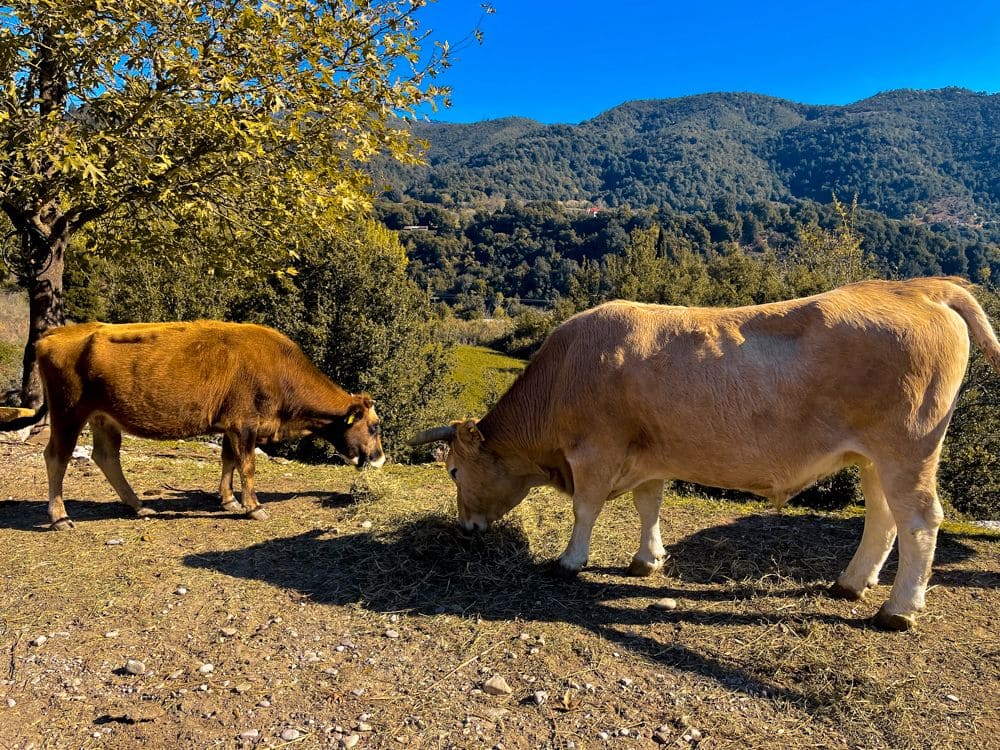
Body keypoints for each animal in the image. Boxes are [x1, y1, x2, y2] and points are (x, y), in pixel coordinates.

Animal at [0, 322, 384, 528]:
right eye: (374, 427)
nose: (379, 458)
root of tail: (54, 334)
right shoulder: (244, 424)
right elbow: (247, 465)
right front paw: (254, 506)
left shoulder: (231, 425)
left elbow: (228, 460)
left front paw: (228, 500)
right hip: (68, 412)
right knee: (57, 457)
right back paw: (59, 516)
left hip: (103, 417)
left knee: (106, 457)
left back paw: (139, 506)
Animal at [412, 280, 1000, 632]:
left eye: (454, 470)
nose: (465, 528)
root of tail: (918, 286)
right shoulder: (648, 453)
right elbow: (648, 506)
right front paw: (647, 560)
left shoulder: (595, 451)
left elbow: (586, 509)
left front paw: (569, 561)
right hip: (875, 457)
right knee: (882, 516)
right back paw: (851, 584)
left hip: (907, 448)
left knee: (920, 520)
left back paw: (898, 610)